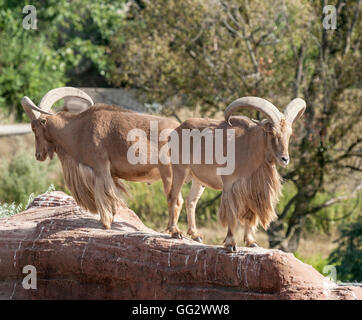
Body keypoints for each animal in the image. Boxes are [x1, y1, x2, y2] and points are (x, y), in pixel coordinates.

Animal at [166, 96, 306, 251]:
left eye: (289, 134)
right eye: (271, 132)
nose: (285, 159)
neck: (250, 147)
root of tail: (176, 129)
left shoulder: (252, 189)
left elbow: (250, 216)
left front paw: (251, 242)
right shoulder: (230, 185)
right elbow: (231, 214)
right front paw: (230, 243)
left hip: (199, 180)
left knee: (191, 201)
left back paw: (195, 234)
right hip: (180, 169)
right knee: (174, 197)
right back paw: (175, 231)